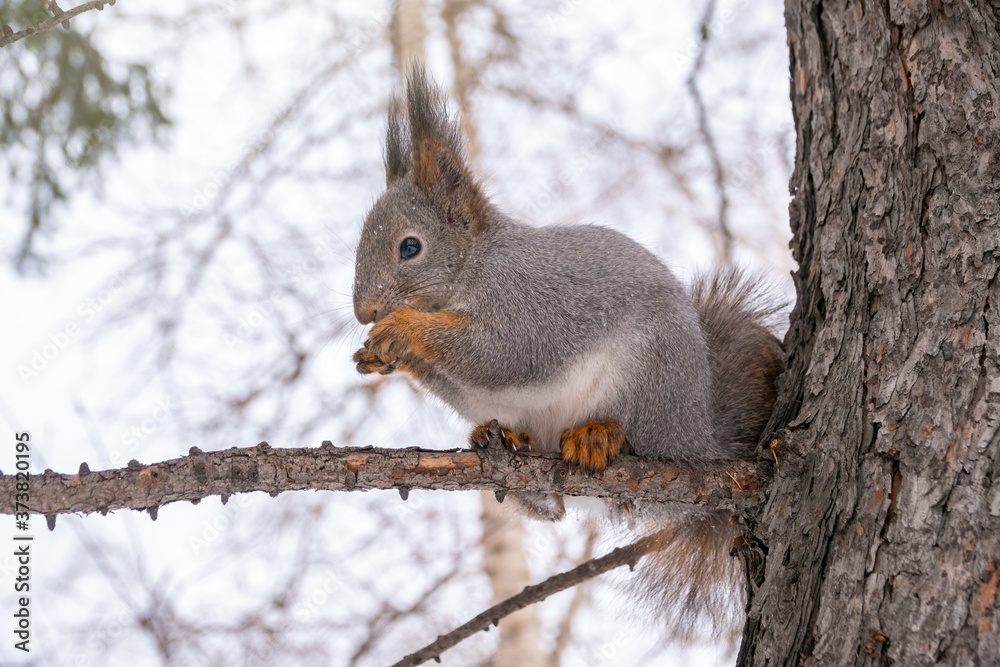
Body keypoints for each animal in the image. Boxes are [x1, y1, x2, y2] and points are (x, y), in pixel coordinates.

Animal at [351, 68, 785, 646]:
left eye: (409, 248)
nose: (365, 311)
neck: (474, 269)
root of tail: (701, 436)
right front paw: (378, 355)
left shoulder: (535, 309)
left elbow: (502, 355)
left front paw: (403, 329)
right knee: (552, 508)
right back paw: (506, 443)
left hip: (650, 378)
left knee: (643, 450)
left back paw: (600, 435)